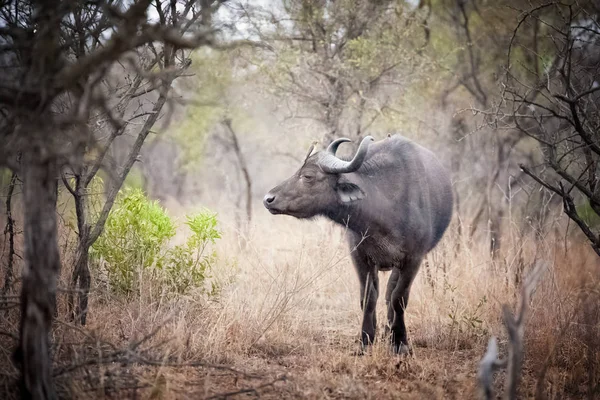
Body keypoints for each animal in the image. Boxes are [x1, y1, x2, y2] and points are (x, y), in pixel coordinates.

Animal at [264, 134, 452, 354]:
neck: (386, 210)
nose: (268, 199)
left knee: (391, 294)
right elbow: (368, 298)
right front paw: (365, 340)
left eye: (308, 176)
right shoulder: (360, 257)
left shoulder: (413, 259)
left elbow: (398, 298)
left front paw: (400, 343)